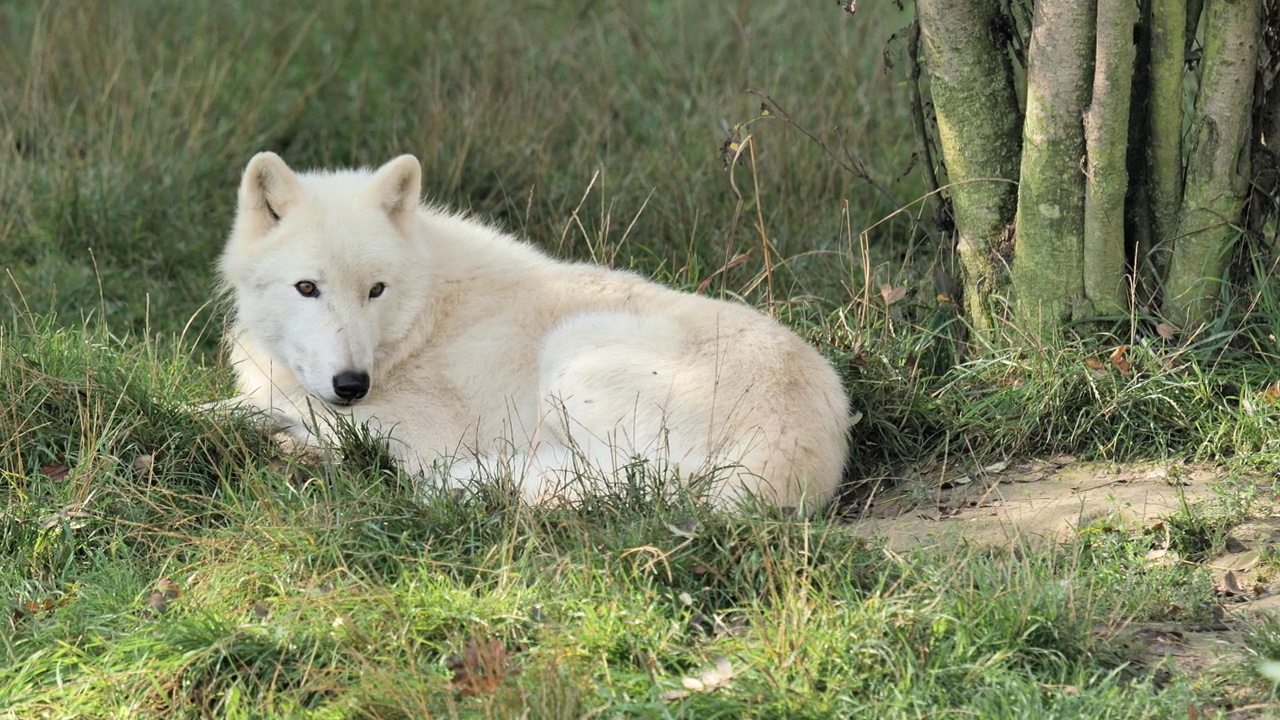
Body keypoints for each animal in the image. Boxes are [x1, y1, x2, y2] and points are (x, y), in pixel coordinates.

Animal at [220, 151, 849, 509]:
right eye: (307, 288)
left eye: (376, 290)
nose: (353, 384)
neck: (424, 316)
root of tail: (796, 448)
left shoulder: (421, 429)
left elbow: (283, 409)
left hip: (573, 357)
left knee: (615, 486)